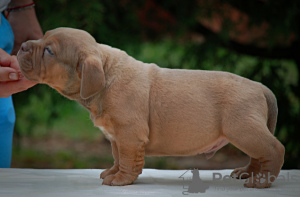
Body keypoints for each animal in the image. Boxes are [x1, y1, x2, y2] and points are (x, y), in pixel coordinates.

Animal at [17, 27, 284, 188]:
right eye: (42, 36)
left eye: (49, 51)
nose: (22, 46)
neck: (106, 73)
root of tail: (261, 87)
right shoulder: (117, 137)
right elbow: (117, 156)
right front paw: (112, 172)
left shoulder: (129, 135)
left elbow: (127, 159)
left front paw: (120, 179)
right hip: (246, 131)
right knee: (258, 154)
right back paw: (247, 172)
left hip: (243, 128)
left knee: (273, 149)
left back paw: (261, 180)